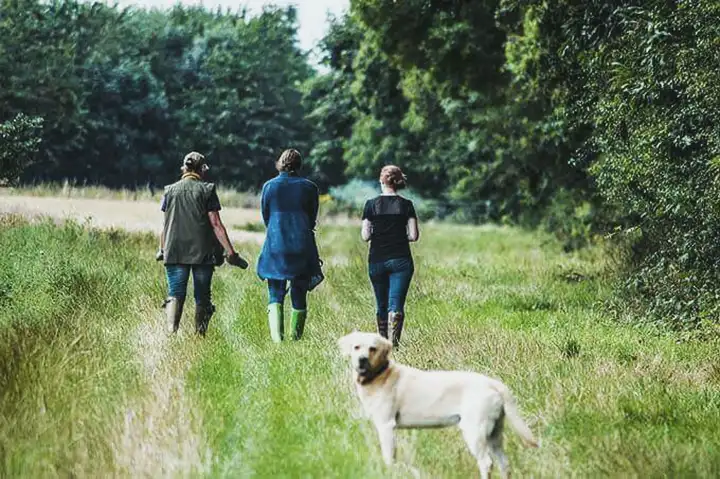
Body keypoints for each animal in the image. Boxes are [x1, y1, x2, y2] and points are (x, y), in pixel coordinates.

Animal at [340, 332, 536, 478]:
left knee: (486, 462)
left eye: (372, 348)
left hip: (475, 431)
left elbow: (389, 457)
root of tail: (492, 383)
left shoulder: (386, 425)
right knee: (504, 463)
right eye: (356, 347)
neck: (381, 374)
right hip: (494, 433)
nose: (362, 359)